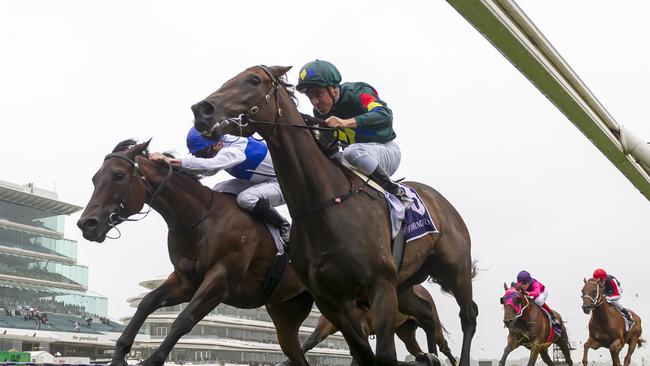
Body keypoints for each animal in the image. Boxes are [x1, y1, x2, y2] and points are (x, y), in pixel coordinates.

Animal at [76, 141, 314, 366]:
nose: (87, 224)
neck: (201, 219)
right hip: (285, 312)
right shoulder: (186, 280)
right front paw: (119, 354)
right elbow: (147, 303)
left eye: (118, 175)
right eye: (95, 178)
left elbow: (184, 318)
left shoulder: (222, 279)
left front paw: (151, 360)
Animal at [290, 286, 456, 366]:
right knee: (415, 349)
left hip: (433, 324)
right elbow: (308, 343)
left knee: (443, 345)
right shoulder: (324, 329)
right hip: (406, 333)